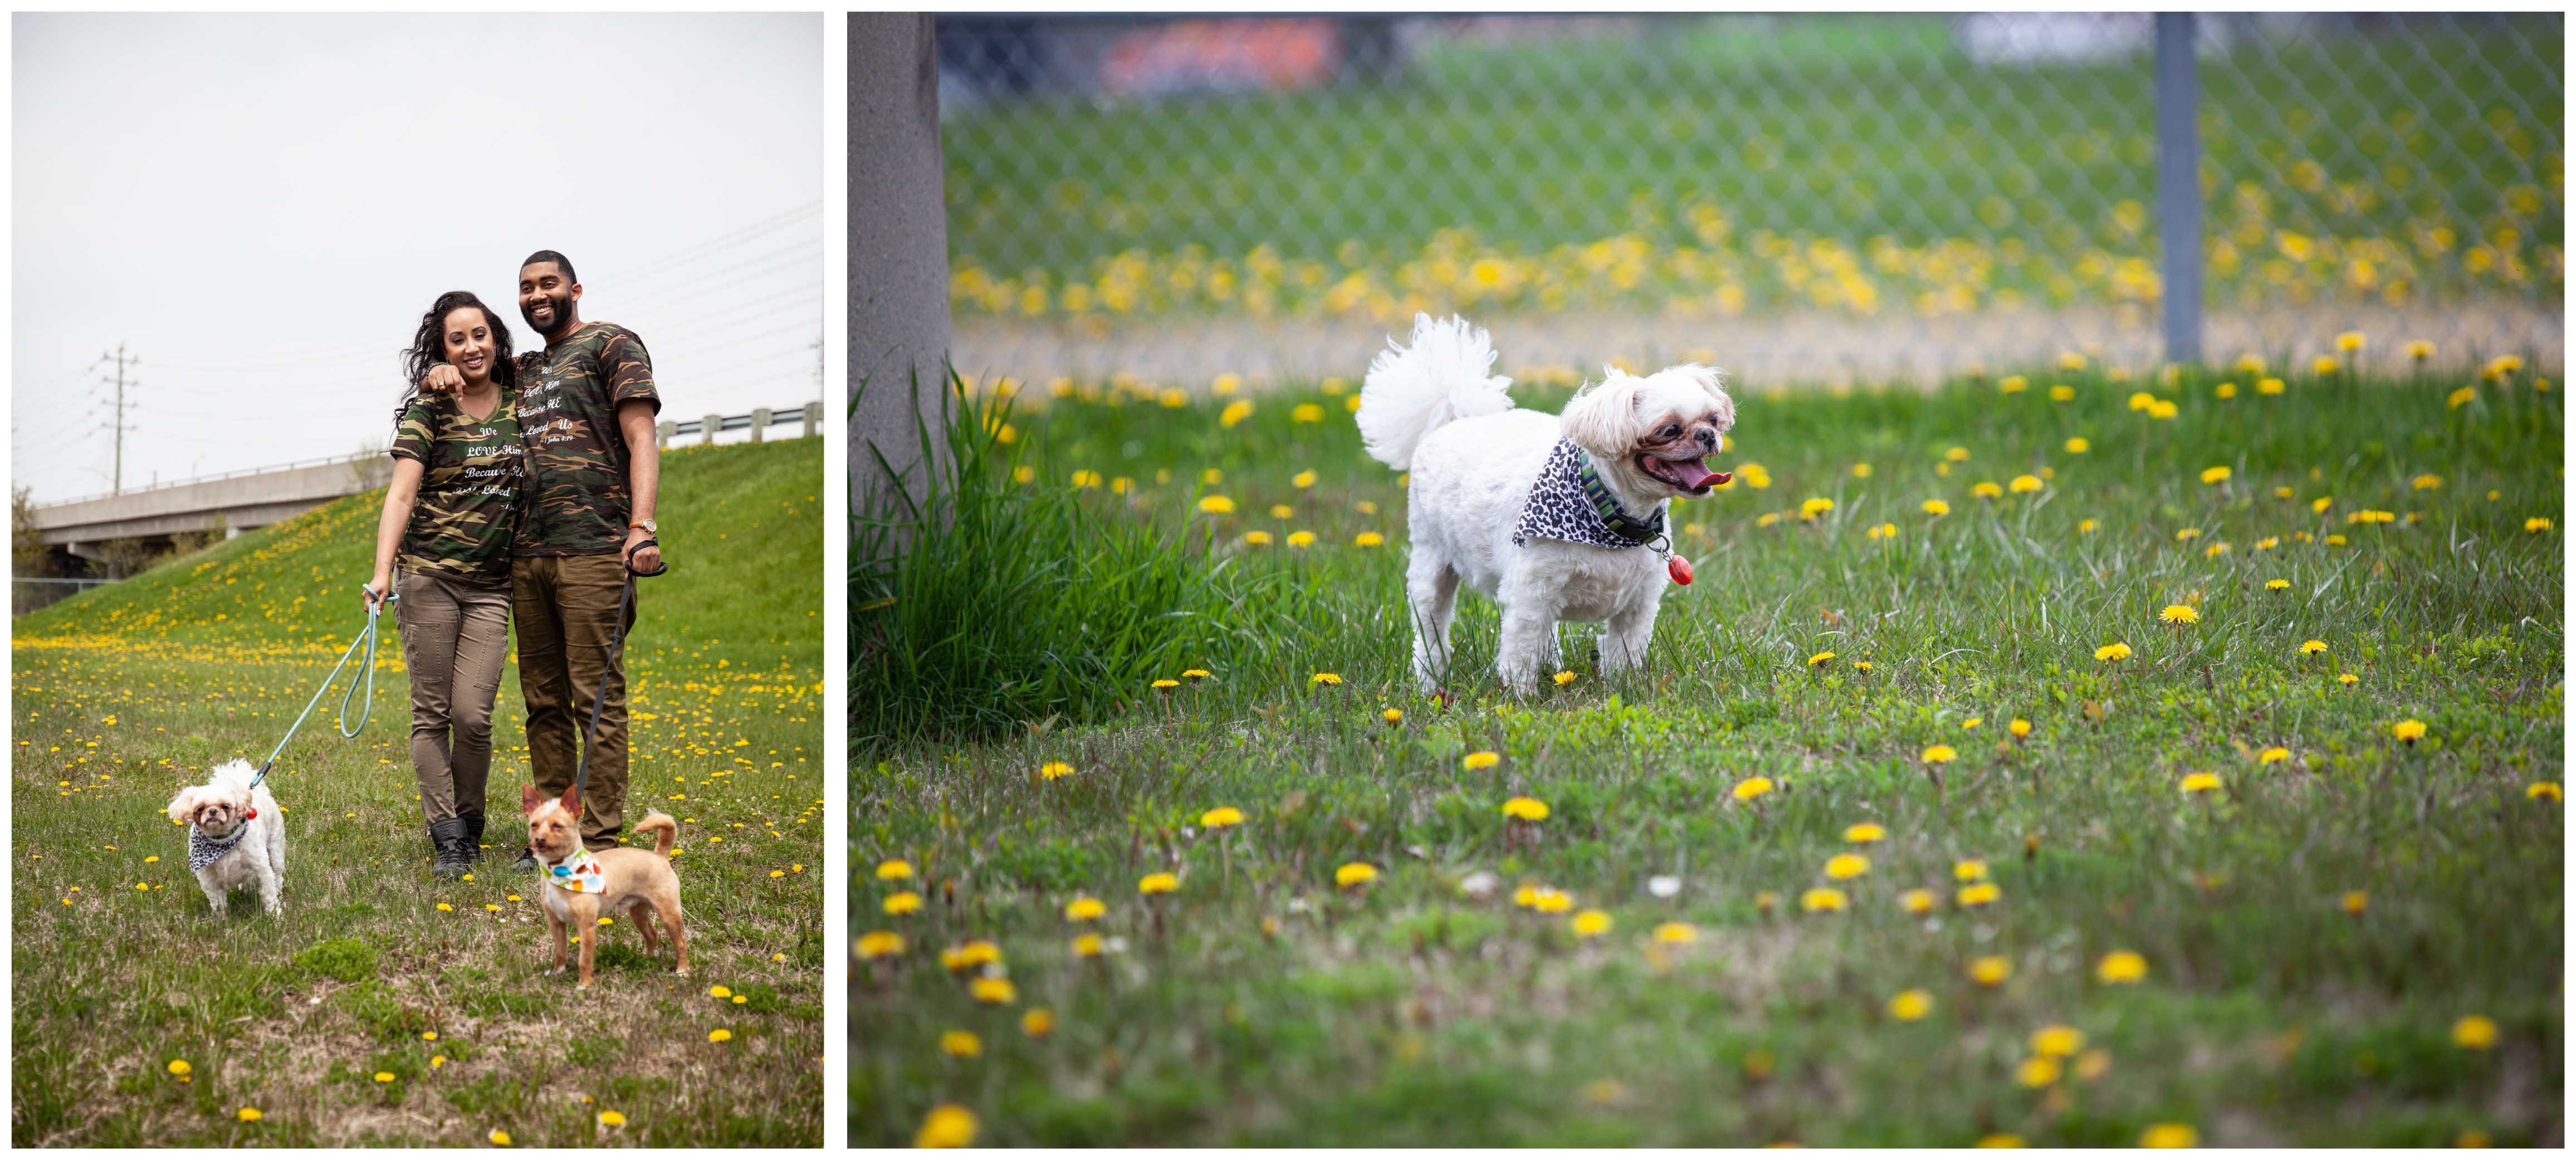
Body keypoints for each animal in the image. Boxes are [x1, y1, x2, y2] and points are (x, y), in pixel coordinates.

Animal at [163, 763, 287, 917]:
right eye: (201, 808)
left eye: (225, 806)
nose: (213, 811)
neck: (221, 841)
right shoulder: (209, 878)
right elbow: (217, 902)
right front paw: (220, 919)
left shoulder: (262, 869)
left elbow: (268, 894)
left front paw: (274, 915)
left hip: (276, 853)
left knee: (277, 876)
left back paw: (278, 891)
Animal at [1360, 317, 1741, 691]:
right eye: (1670, 429)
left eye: (1713, 419)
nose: (1708, 435)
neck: (1608, 516)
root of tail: (1455, 419)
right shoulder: (1529, 596)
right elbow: (1520, 656)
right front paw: (1522, 698)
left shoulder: (1638, 605)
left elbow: (1624, 654)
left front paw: (1625, 689)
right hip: (1431, 564)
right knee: (1431, 632)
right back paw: (1430, 684)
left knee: (1549, 635)